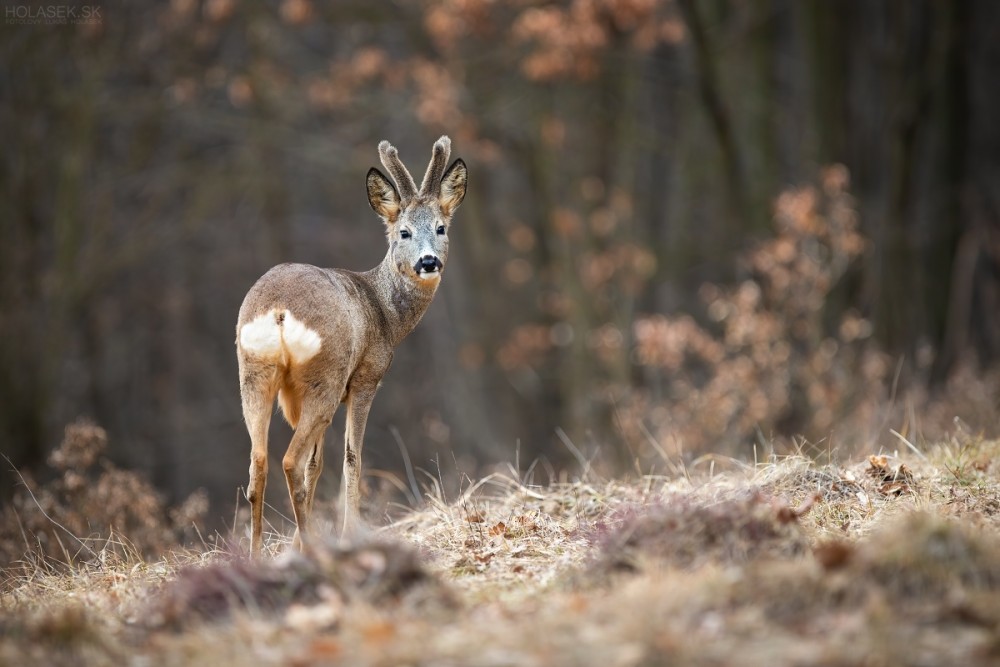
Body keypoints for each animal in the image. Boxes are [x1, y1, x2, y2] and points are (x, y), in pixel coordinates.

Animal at [236, 136, 466, 552]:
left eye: (441, 227)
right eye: (404, 232)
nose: (428, 262)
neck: (384, 313)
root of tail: (277, 310)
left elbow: (319, 464)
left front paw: (295, 542)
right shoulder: (365, 378)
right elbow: (351, 458)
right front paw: (348, 533)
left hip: (254, 373)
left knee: (258, 462)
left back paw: (258, 554)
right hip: (324, 376)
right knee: (290, 460)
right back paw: (313, 548)